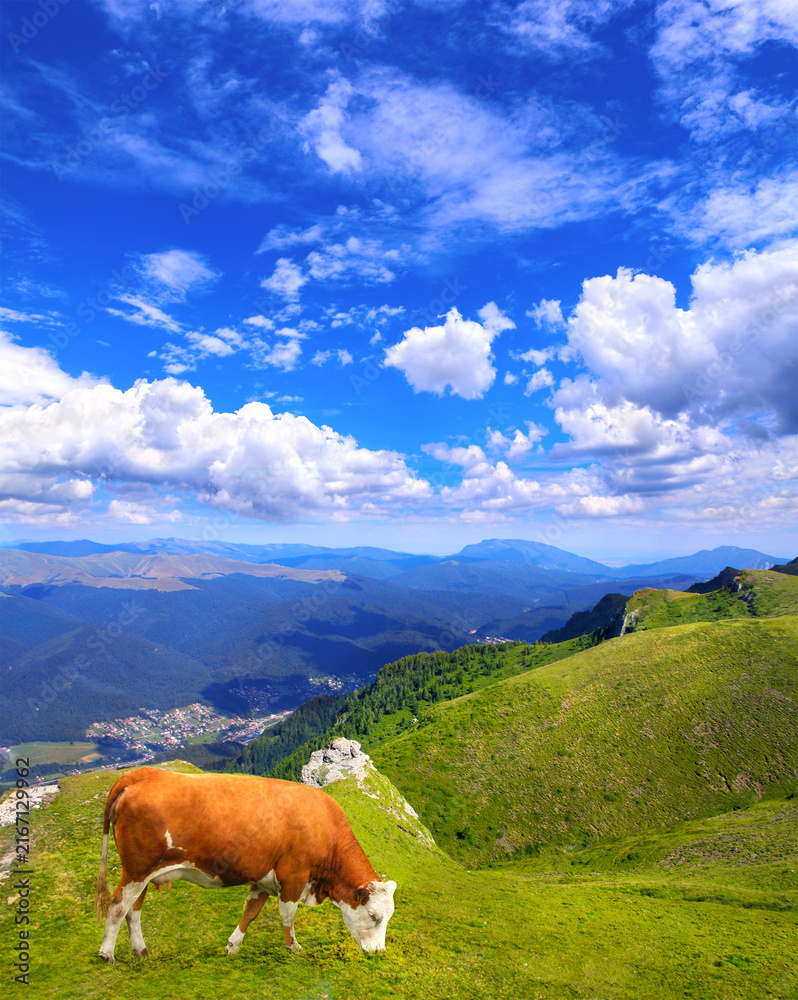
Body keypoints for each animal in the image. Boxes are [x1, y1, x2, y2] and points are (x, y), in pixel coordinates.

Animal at [94, 766, 397, 963]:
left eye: (388, 916)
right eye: (373, 916)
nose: (378, 952)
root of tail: (140, 775)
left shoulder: (263, 878)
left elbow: (250, 912)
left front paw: (233, 945)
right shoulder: (294, 875)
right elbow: (288, 916)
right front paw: (293, 947)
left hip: (142, 873)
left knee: (133, 910)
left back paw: (141, 952)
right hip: (137, 869)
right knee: (118, 905)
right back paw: (106, 954)